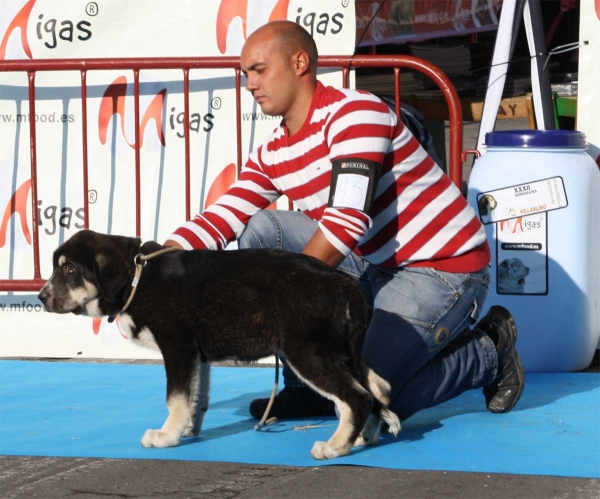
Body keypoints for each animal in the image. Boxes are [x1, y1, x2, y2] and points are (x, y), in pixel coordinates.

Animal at [39, 230, 400, 460]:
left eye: (69, 268)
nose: (41, 297)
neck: (137, 278)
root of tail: (345, 284)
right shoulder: (197, 356)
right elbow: (195, 397)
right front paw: (186, 429)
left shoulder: (178, 346)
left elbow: (175, 398)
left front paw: (166, 436)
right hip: (342, 352)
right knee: (378, 388)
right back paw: (365, 436)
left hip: (306, 351)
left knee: (357, 396)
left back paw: (335, 446)